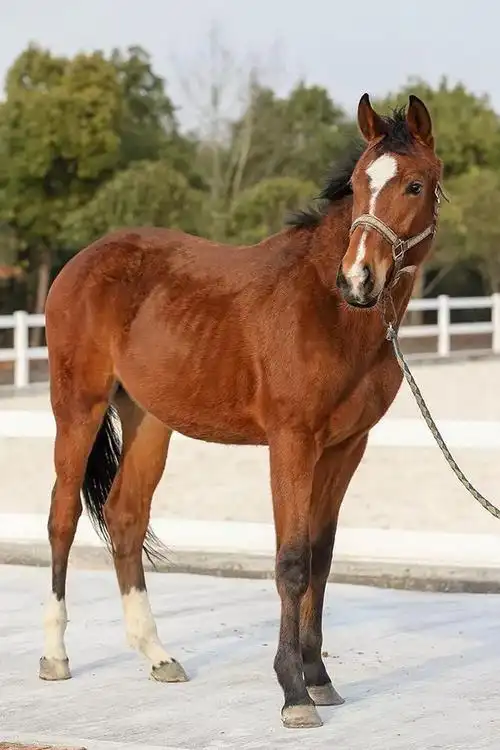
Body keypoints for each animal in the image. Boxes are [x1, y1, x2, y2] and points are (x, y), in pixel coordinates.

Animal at [39, 92, 442, 730]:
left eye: (415, 185)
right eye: (358, 184)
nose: (358, 280)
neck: (329, 312)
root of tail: (80, 263)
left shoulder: (345, 447)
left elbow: (322, 557)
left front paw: (319, 678)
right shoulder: (292, 442)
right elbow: (292, 561)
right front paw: (294, 692)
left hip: (149, 421)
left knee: (125, 516)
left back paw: (157, 656)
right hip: (77, 407)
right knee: (63, 517)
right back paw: (55, 656)